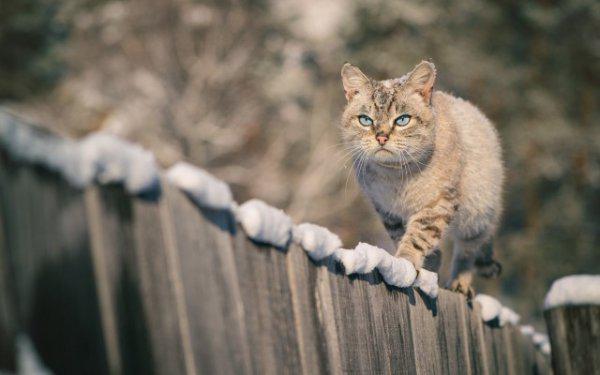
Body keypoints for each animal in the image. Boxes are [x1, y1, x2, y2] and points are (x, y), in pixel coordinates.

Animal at [340, 60, 504, 298]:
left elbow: (418, 237)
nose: (381, 137)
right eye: (365, 120)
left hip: (477, 214)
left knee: (468, 250)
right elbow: (404, 236)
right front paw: (420, 266)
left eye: (402, 120)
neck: (394, 176)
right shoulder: (388, 211)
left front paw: (405, 263)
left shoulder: (437, 203)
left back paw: (459, 283)